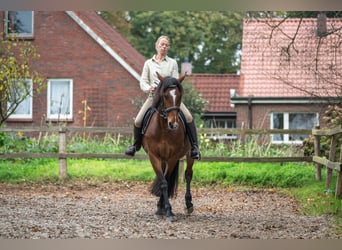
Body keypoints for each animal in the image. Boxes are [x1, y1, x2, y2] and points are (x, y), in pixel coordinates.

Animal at [142, 71, 195, 222]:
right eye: (164, 95)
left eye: (180, 95)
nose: (173, 124)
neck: (164, 130)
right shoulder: (154, 156)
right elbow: (163, 182)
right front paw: (162, 209)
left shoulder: (173, 157)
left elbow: (165, 180)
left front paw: (168, 210)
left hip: (189, 155)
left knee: (188, 175)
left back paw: (189, 204)